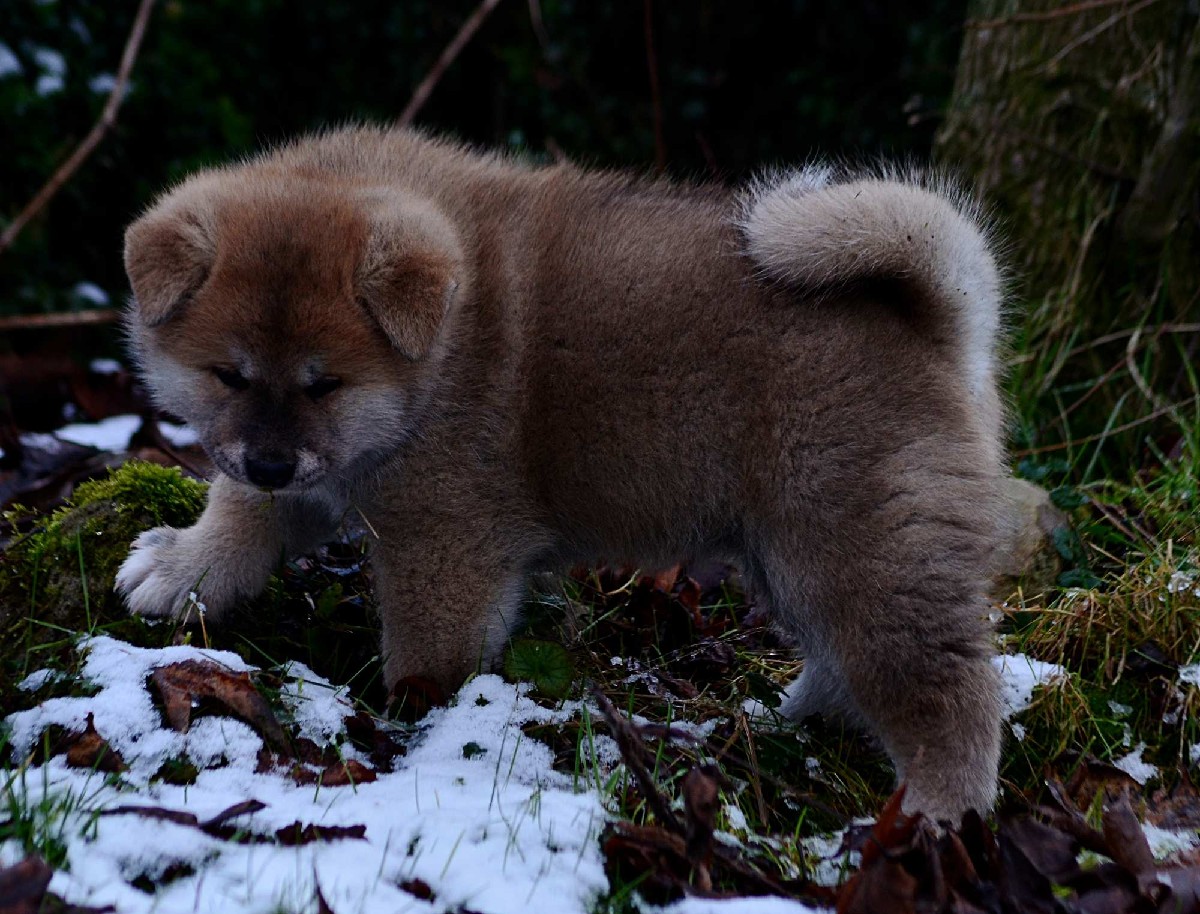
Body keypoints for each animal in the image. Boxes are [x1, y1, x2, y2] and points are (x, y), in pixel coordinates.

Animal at [116, 126, 1007, 821]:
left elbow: (428, 653)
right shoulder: (320, 475)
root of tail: (930, 321)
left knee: (947, 693)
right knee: (848, 656)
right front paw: (183, 568)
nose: (271, 460)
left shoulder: (444, 540)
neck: (440, 347)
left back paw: (937, 819)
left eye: (324, 383)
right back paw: (811, 718)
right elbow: (242, 515)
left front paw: (409, 722)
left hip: (860, 547)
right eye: (227, 375)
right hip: (795, 555)